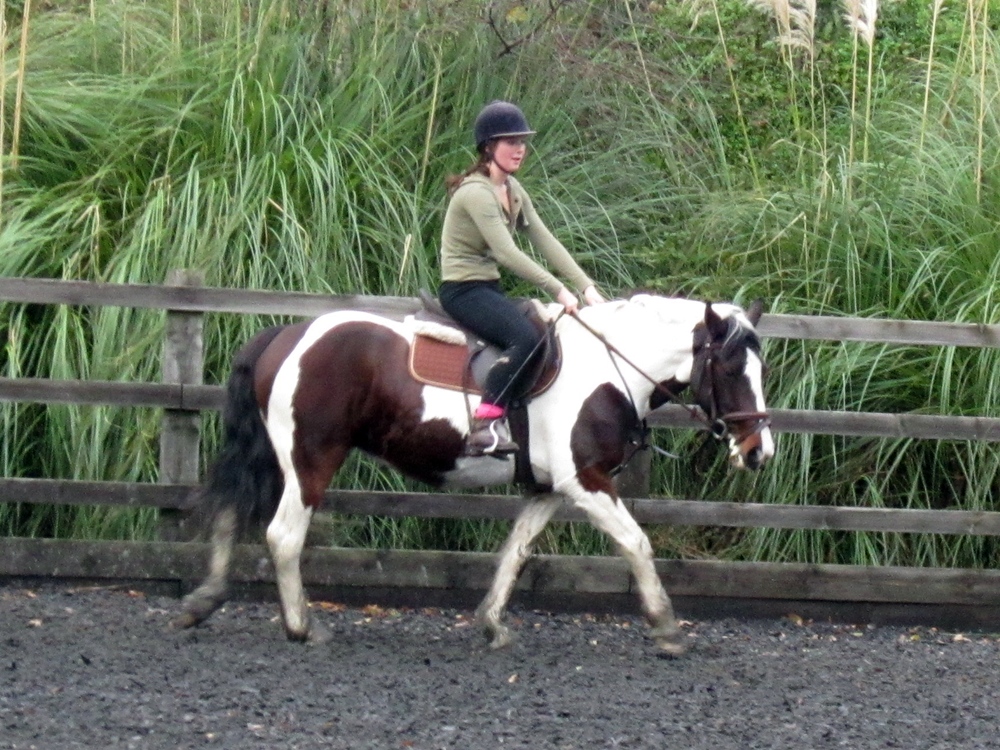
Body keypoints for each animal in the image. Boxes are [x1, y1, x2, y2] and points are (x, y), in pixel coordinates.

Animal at [173, 294, 774, 655]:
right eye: (728, 369)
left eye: (760, 368)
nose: (758, 451)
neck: (609, 370)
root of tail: (286, 334)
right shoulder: (586, 482)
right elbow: (636, 543)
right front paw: (667, 626)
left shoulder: (549, 490)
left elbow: (516, 551)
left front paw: (491, 622)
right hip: (310, 458)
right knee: (283, 534)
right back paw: (302, 626)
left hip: (273, 454)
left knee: (233, 510)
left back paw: (204, 601)